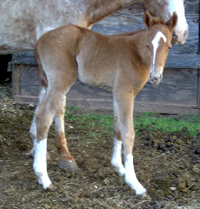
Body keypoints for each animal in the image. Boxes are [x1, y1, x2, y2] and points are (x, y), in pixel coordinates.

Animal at [29, 10, 177, 195]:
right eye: (148, 46)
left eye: (169, 47)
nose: (156, 77)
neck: (134, 53)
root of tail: (40, 40)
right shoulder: (125, 93)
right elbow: (128, 133)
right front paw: (134, 183)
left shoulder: (116, 93)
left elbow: (117, 128)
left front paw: (119, 167)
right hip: (60, 81)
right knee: (44, 117)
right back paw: (44, 178)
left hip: (48, 82)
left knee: (38, 112)